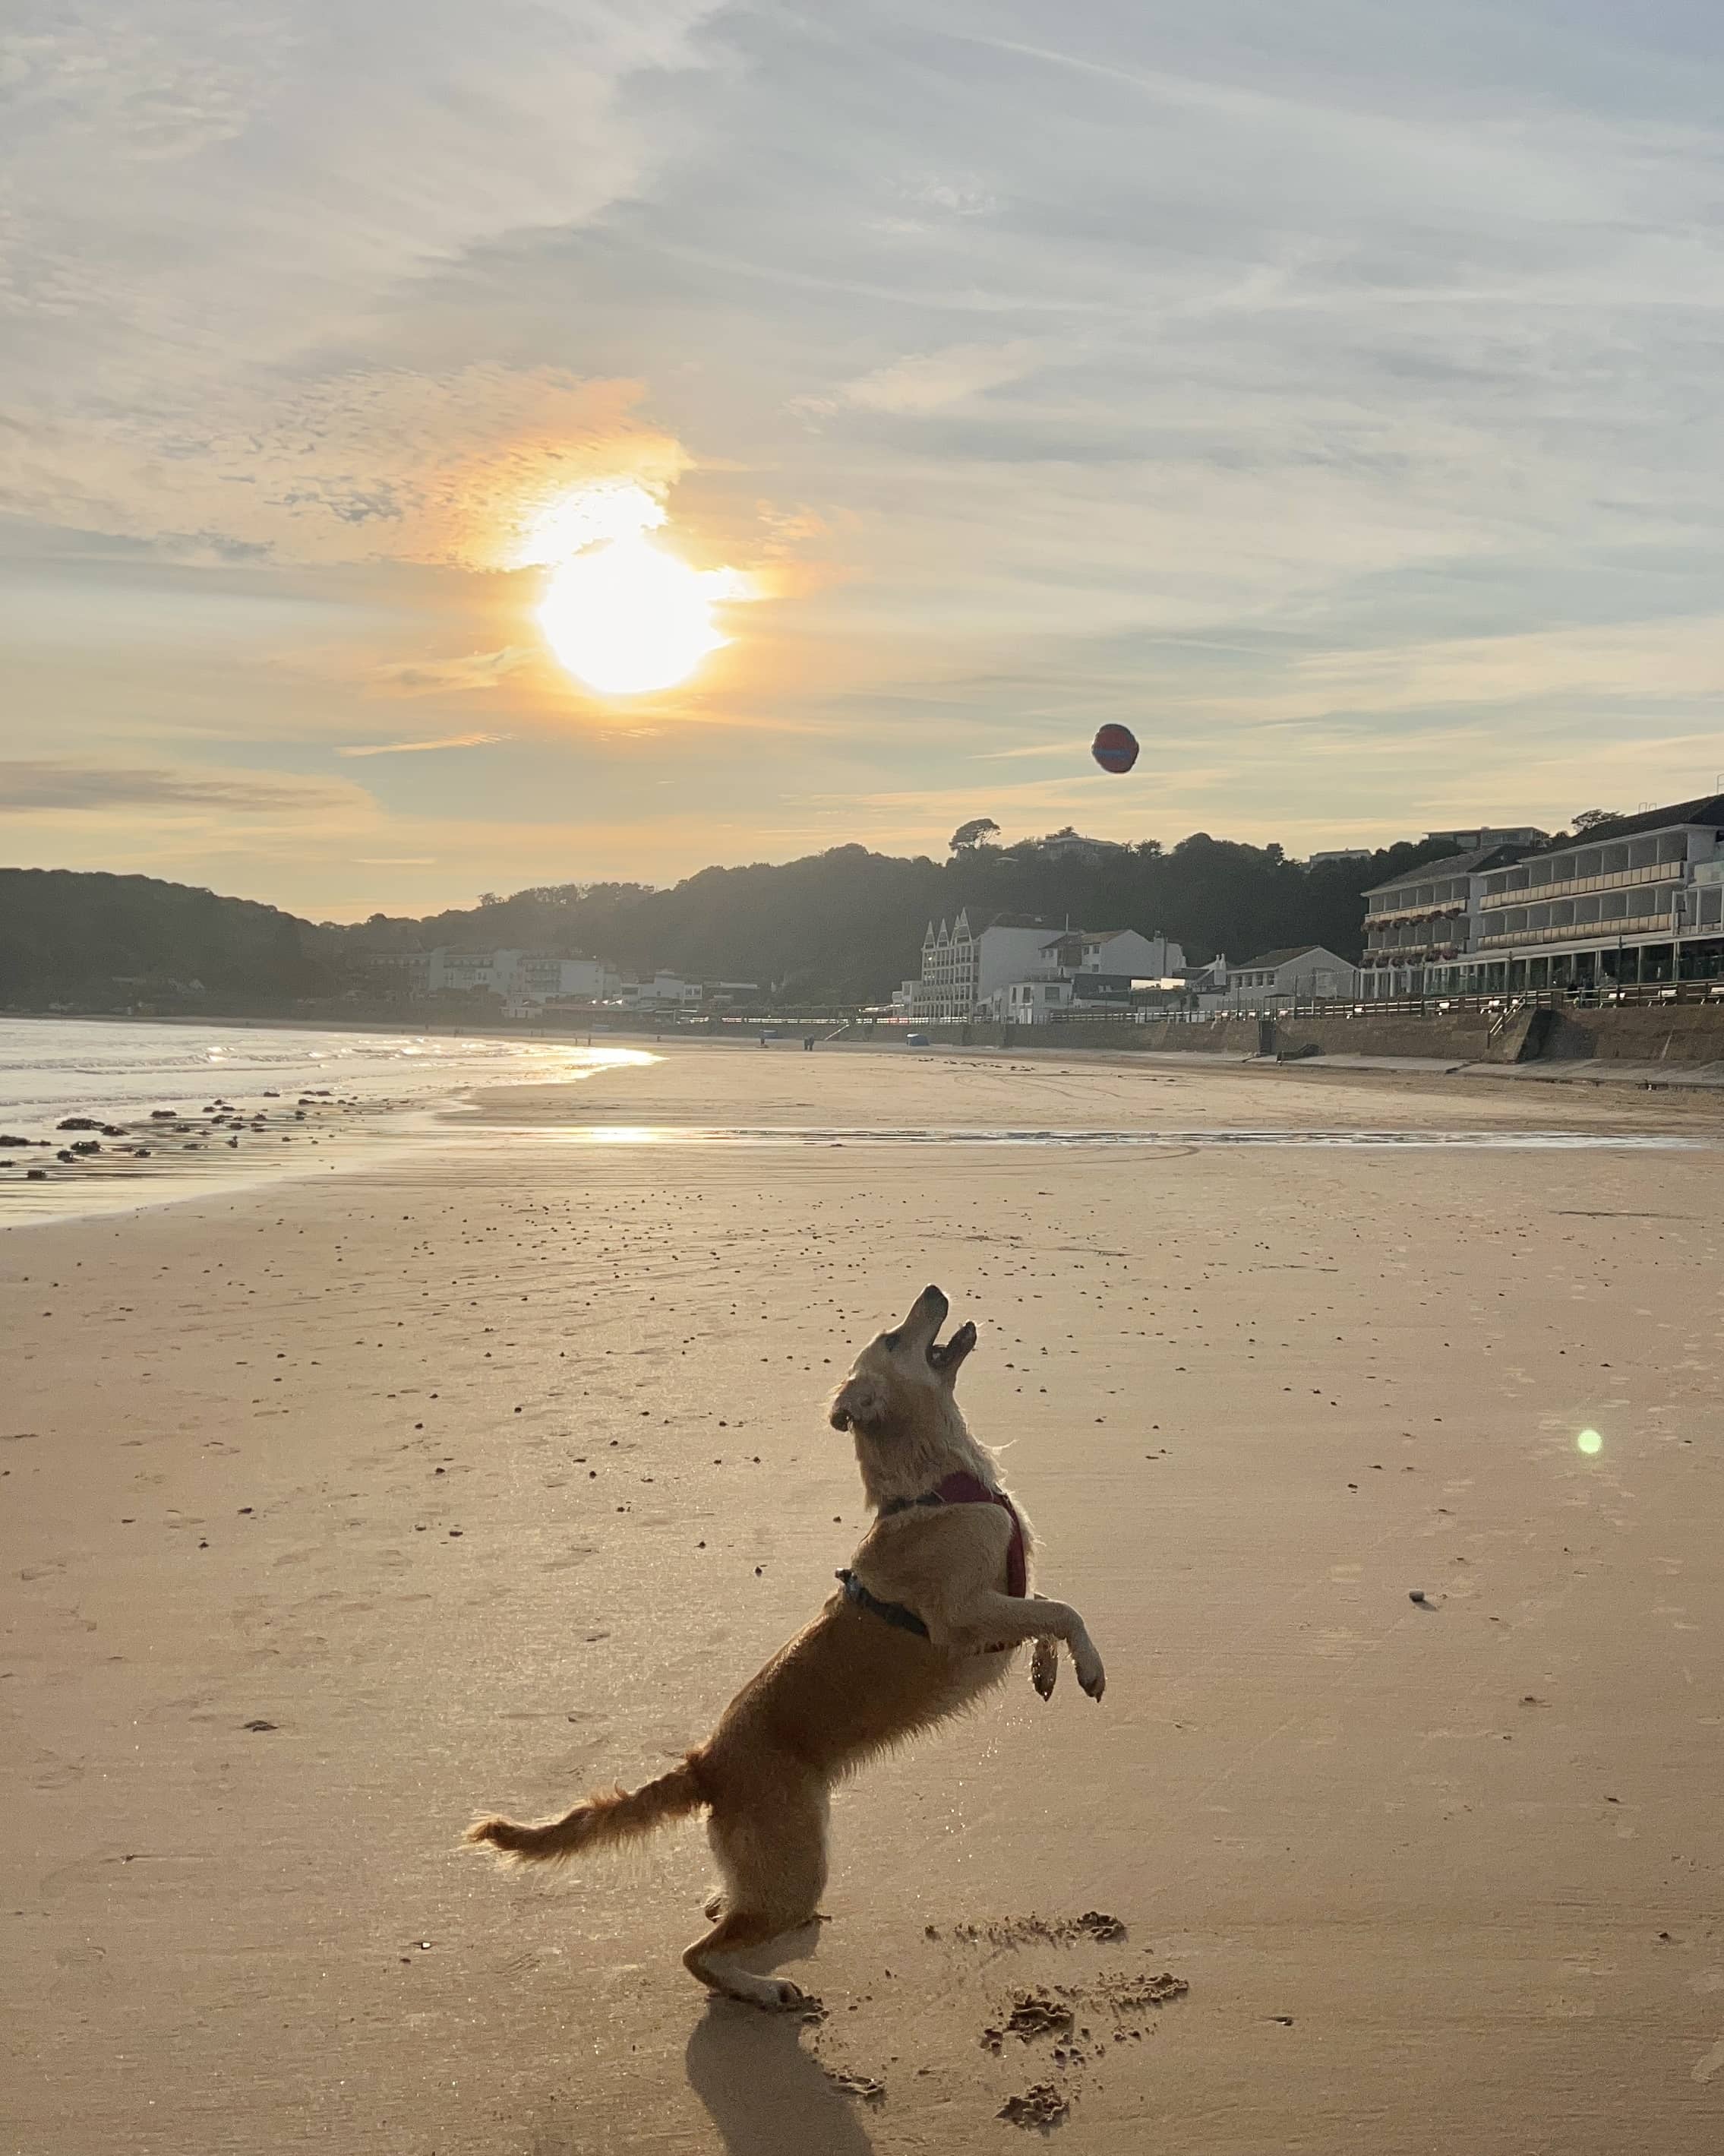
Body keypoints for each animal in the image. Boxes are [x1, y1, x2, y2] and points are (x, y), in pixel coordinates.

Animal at [461, 1276, 1103, 2000]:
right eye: (892, 1338)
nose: (934, 1289)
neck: (937, 1486)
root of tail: (706, 1765)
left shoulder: (1002, 1601)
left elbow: (1045, 1607)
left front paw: (1049, 1669)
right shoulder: (962, 1618)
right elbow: (1066, 1610)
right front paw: (1089, 1668)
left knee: (725, 1910)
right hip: (797, 1868)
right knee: (702, 1954)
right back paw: (762, 1991)